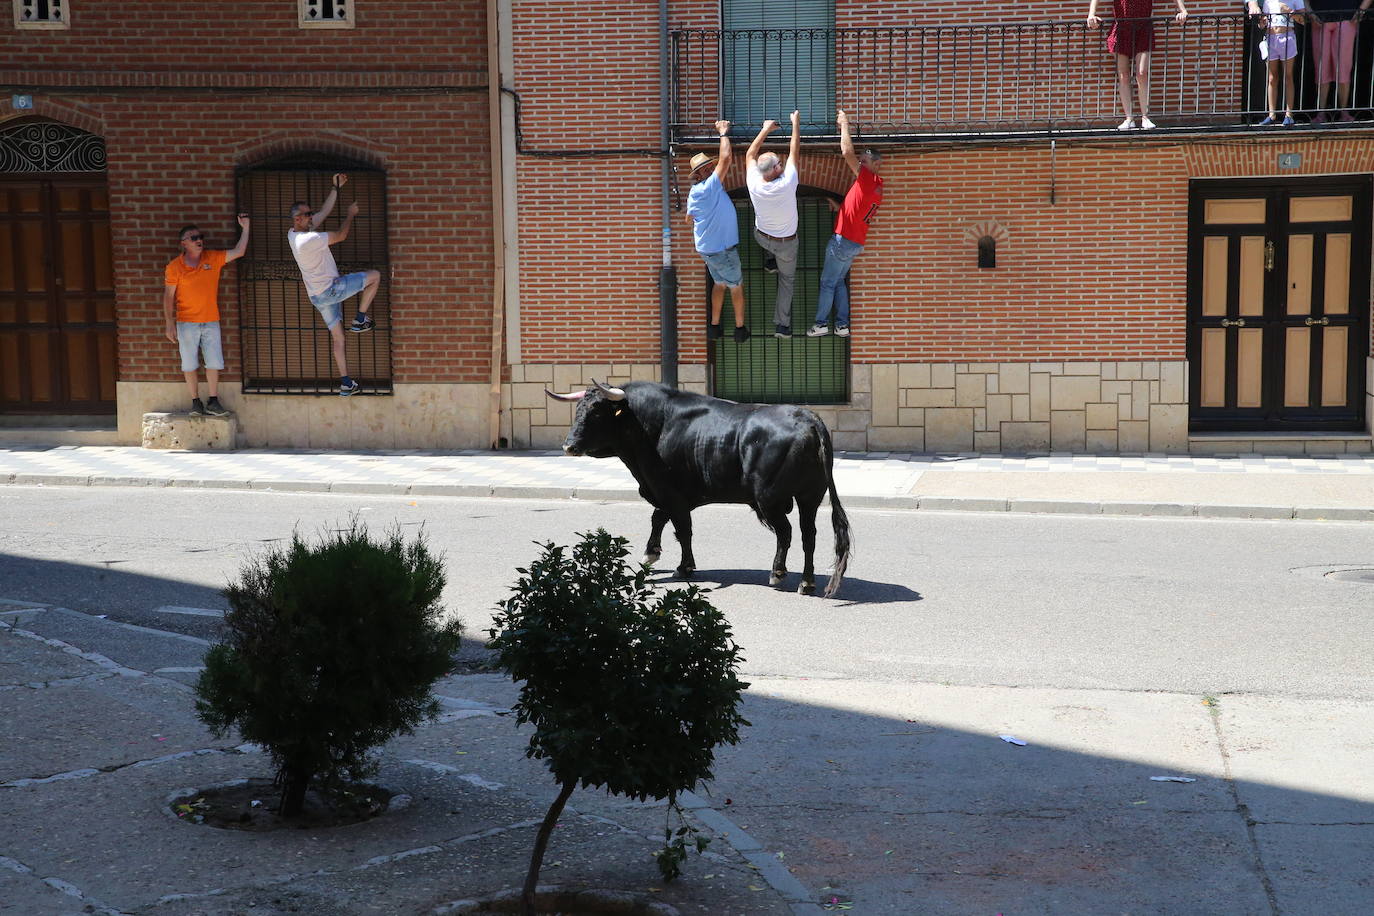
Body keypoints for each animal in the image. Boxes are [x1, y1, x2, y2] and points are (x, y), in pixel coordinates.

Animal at [544, 379, 846, 596]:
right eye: (578, 410)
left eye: (597, 412)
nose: (568, 446)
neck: (653, 426)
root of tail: (808, 419)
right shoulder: (669, 495)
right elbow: (659, 519)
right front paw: (652, 553)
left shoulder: (670, 492)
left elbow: (682, 530)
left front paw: (683, 567)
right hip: (809, 497)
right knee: (809, 535)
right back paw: (806, 583)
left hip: (769, 498)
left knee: (786, 532)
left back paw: (778, 573)